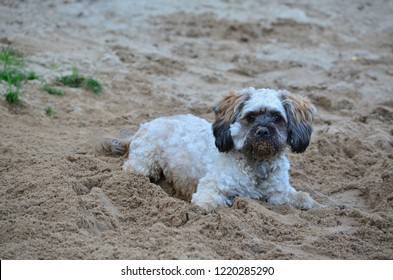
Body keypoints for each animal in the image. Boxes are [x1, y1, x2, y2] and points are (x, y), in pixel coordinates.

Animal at [100, 87, 316, 212]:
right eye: (251, 117)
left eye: (277, 118)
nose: (263, 131)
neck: (256, 164)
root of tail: (144, 125)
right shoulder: (212, 186)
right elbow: (208, 200)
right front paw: (204, 207)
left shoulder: (278, 192)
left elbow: (293, 196)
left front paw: (306, 200)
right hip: (145, 164)